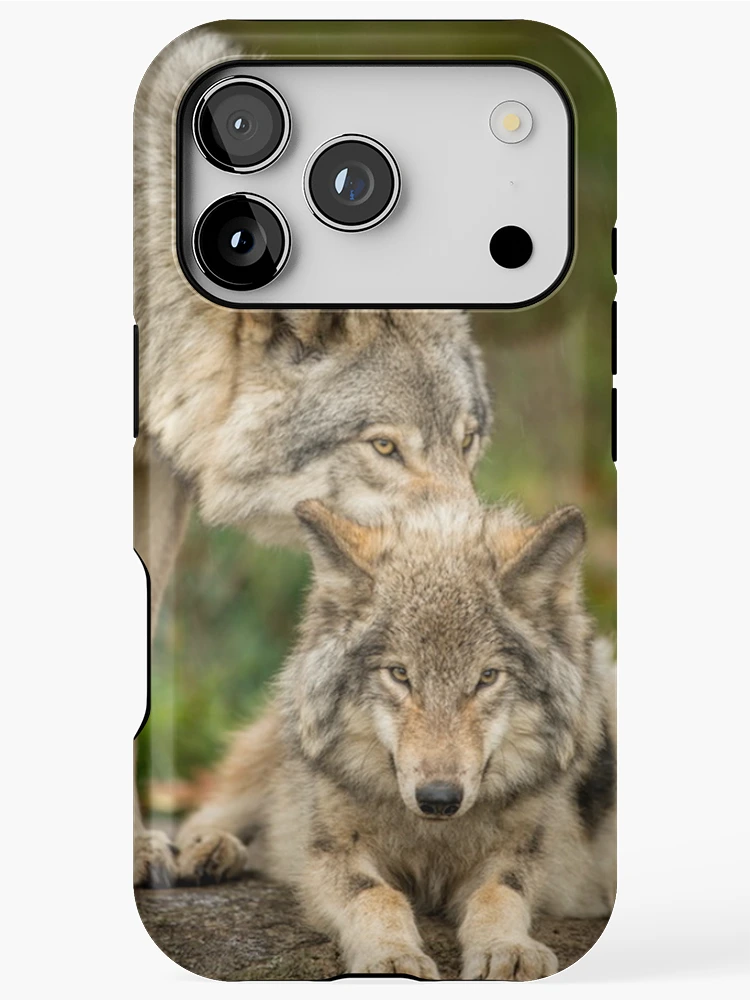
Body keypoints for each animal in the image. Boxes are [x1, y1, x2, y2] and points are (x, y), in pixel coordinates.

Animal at [176, 497, 616, 980]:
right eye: (400, 674)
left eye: (487, 677)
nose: (439, 798)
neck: (430, 837)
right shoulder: (330, 853)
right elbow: (375, 895)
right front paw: (390, 957)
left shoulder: (523, 854)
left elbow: (499, 893)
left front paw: (507, 948)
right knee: (208, 815)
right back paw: (208, 851)